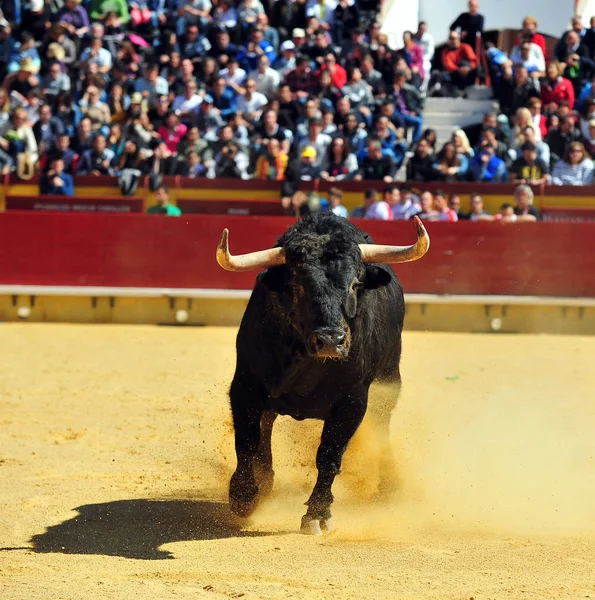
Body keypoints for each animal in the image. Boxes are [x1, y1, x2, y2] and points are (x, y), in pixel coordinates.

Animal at [217, 214, 430, 536]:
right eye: (297, 285)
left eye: (354, 285)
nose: (331, 340)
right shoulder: (245, 385)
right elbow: (247, 440)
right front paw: (243, 496)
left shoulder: (353, 400)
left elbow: (329, 455)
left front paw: (317, 515)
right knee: (265, 426)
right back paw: (264, 483)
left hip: (389, 380)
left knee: (382, 427)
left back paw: (388, 488)